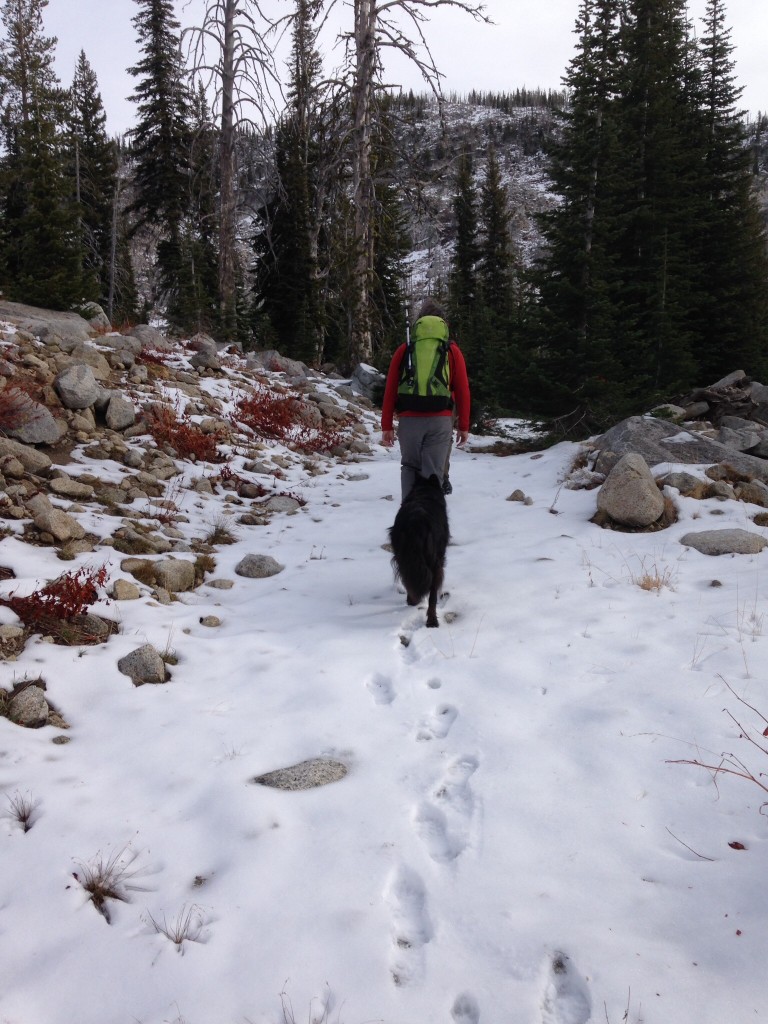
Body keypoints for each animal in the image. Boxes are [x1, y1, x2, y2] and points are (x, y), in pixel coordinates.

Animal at [391, 475, 450, 626]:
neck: (424, 491)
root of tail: (415, 523)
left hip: (404, 558)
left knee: (408, 579)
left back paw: (412, 600)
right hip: (434, 562)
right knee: (432, 594)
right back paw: (432, 621)